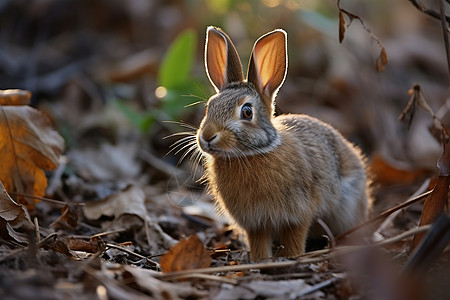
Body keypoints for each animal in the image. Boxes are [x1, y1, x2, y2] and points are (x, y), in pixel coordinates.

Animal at [194, 27, 370, 262]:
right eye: (208, 107)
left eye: (247, 112)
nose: (207, 136)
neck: (251, 153)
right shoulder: (255, 223)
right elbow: (258, 243)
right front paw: (260, 261)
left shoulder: (298, 213)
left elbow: (295, 238)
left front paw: (292, 258)